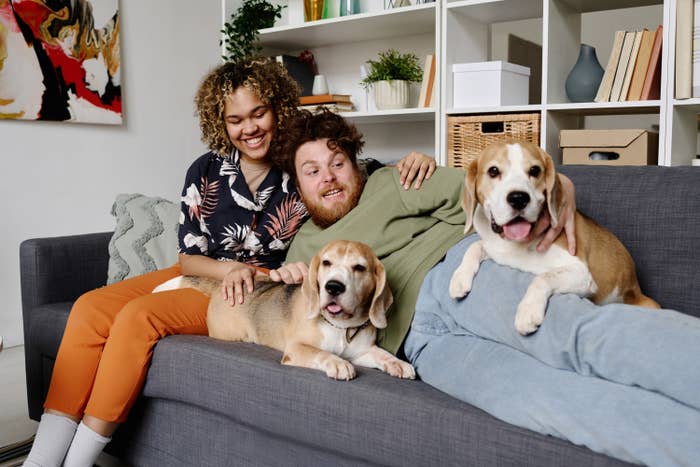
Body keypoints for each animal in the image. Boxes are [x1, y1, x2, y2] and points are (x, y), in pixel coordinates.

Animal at [154, 241, 416, 380]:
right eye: (326, 263)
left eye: (359, 268)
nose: (333, 287)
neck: (341, 327)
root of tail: (222, 285)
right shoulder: (296, 349)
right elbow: (320, 353)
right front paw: (338, 363)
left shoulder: (361, 352)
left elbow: (381, 355)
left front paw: (397, 363)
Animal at [448, 141, 656, 334]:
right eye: (493, 171)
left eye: (534, 170)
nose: (518, 198)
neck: (517, 244)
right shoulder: (495, 249)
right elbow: (474, 246)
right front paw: (459, 277)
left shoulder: (581, 273)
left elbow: (543, 277)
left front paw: (528, 311)